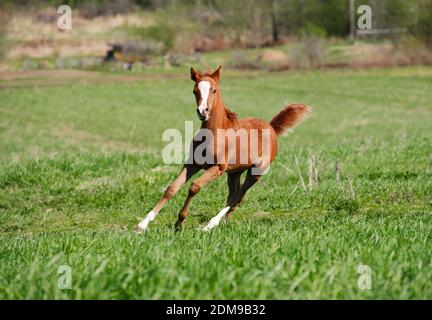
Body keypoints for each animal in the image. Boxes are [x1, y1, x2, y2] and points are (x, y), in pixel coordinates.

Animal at [138, 65, 310, 232]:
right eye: (195, 91)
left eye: (214, 90)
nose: (203, 112)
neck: (215, 133)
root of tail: (272, 127)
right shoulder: (193, 164)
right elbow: (172, 188)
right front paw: (143, 224)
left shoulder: (218, 168)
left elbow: (194, 187)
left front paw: (180, 221)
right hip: (234, 173)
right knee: (235, 195)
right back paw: (226, 222)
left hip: (256, 171)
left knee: (238, 195)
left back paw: (210, 225)